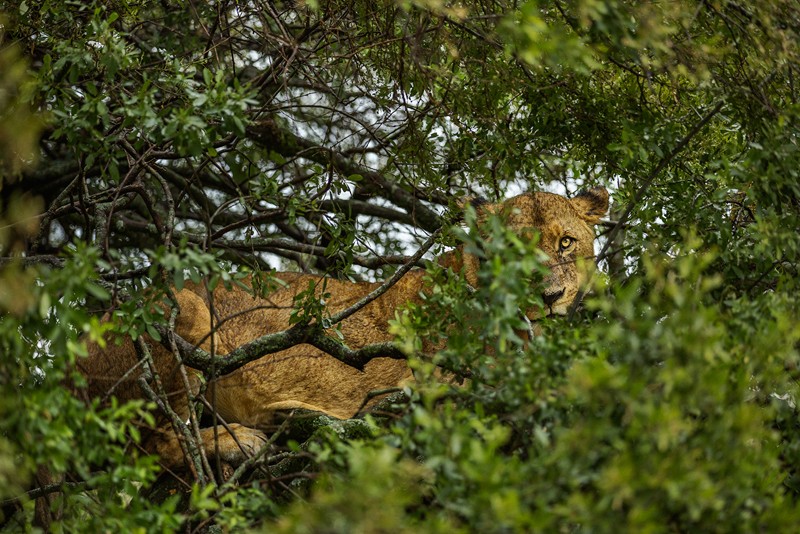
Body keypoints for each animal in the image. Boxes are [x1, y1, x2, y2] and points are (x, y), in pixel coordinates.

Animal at [78, 186, 608, 472]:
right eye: (512, 250)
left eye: (565, 243)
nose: (548, 298)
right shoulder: (434, 390)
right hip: (179, 311)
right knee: (152, 446)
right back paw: (244, 440)